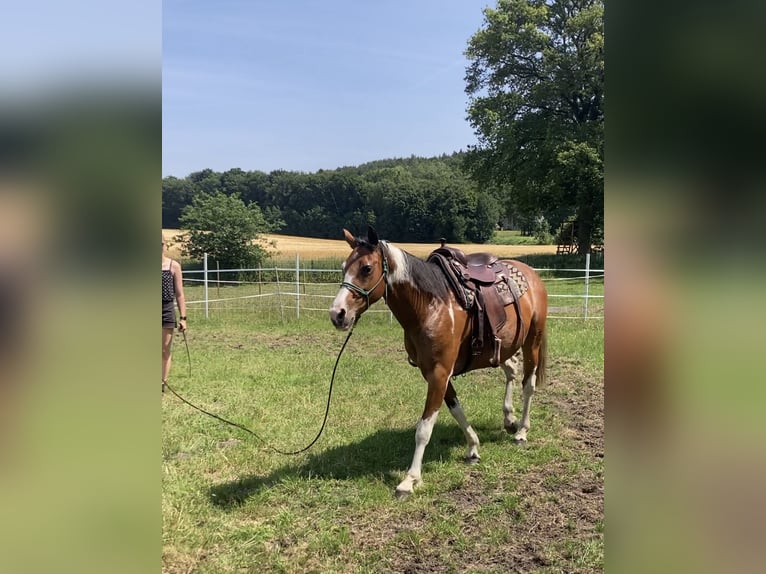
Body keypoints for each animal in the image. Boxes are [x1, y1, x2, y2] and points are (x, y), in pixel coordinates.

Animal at [329, 226, 549, 498]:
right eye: (343, 267)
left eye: (367, 269)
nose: (337, 314)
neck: (430, 306)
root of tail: (531, 273)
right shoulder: (433, 373)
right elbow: (455, 409)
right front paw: (473, 447)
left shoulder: (439, 373)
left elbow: (424, 429)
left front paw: (410, 479)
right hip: (505, 347)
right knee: (511, 371)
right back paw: (509, 419)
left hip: (532, 342)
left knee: (528, 384)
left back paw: (521, 431)